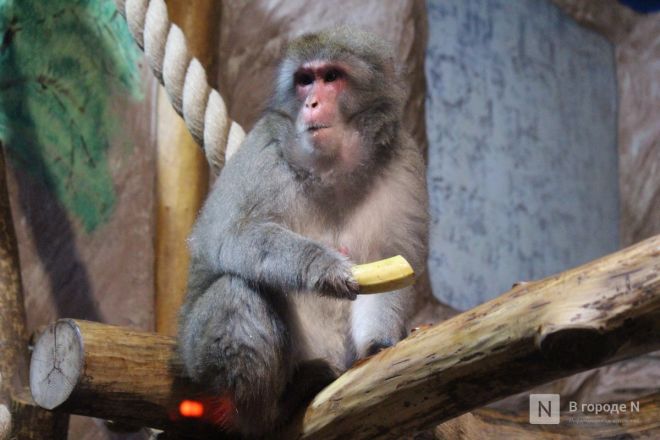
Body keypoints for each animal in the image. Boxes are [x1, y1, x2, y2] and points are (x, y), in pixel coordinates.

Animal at [178, 28, 428, 436]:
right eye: (304, 80)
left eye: (331, 77)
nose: (311, 103)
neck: (332, 170)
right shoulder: (262, 152)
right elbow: (228, 235)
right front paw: (322, 267)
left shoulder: (403, 162)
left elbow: (391, 257)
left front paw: (378, 346)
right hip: (196, 360)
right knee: (234, 292)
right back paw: (265, 412)